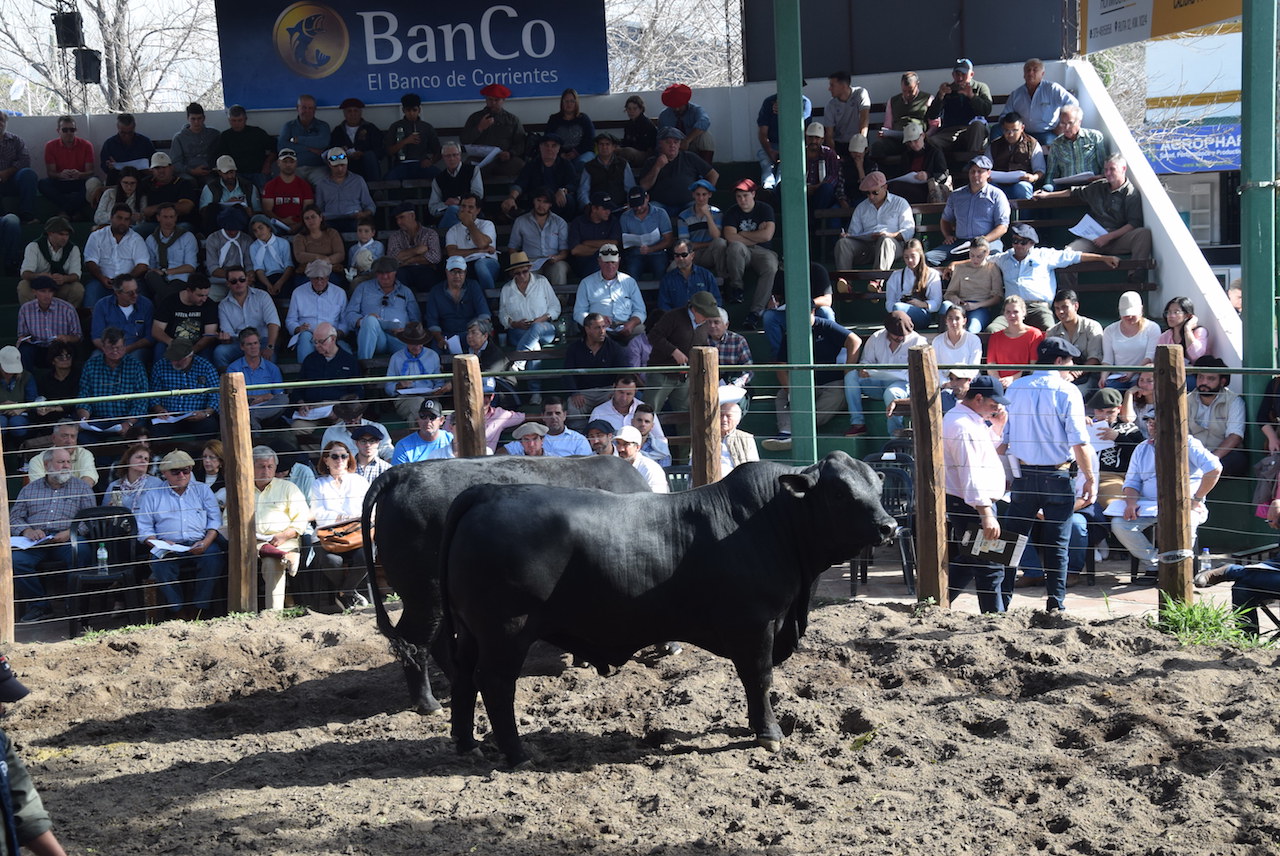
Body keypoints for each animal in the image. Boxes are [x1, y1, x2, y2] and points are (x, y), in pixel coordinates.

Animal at [445, 450, 896, 762]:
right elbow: (759, 678)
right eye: (839, 492)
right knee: (495, 683)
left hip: (470, 631)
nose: (889, 526)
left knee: (464, 677)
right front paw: (769, 734)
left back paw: (467, 745)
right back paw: (519, 754)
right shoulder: (755, 624)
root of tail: (488, 492)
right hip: (507, 629)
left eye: (877, 487)